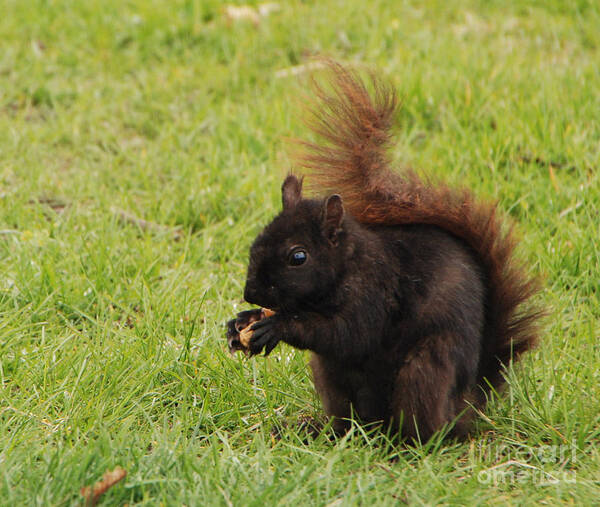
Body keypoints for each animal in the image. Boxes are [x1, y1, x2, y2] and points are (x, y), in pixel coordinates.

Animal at [226, 62, 544, 440]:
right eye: (257, 240)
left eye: (298, 257)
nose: (251, 293)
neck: (348, 267)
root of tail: (467, 407)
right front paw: (241, 322)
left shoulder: (377, 292)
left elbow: (350, 334)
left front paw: (277, 326)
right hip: (331, 379)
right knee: (349, 420)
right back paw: (322, 430)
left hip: (424, 370)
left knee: (423, 427)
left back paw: (408, 443)